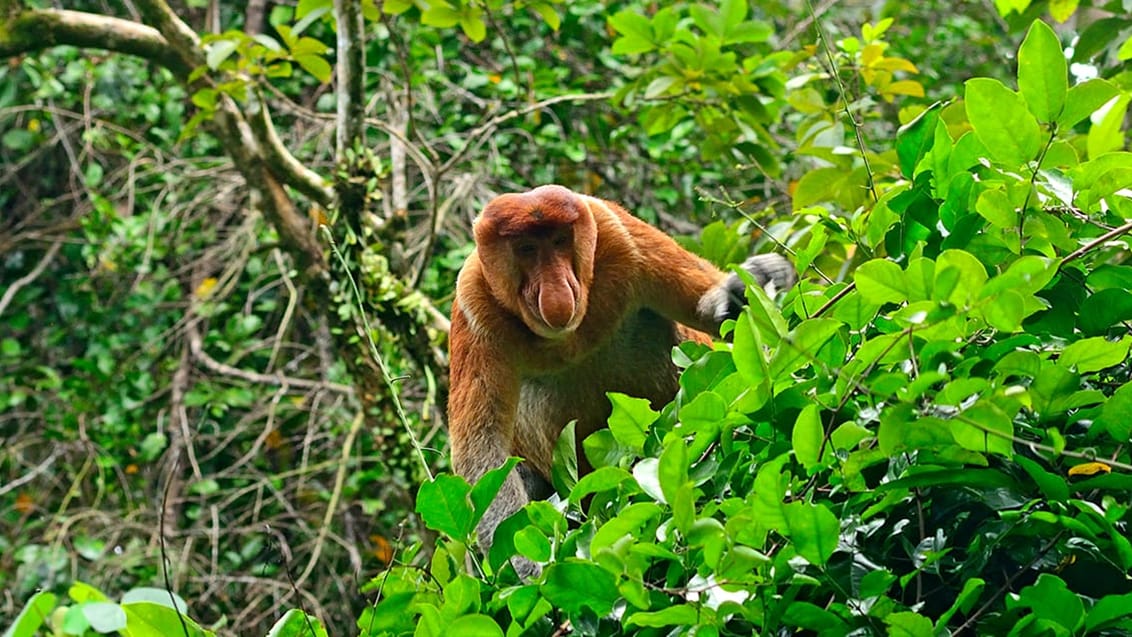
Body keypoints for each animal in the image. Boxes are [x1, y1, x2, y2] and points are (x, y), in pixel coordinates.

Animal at [443, 185, 796, 579]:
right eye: (527, 249)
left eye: (560, 240)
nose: (556, 290)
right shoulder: (474, 303)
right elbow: (482, 449)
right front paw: (530, 569)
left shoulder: (619, 234)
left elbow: (705, 312)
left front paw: (752, 282)